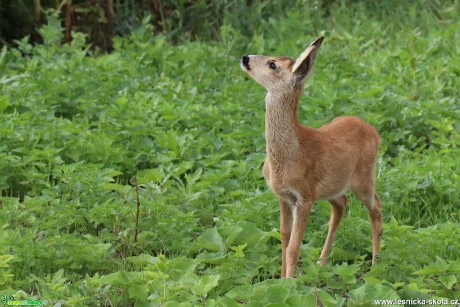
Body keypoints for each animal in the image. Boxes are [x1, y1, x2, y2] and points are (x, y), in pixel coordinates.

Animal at [243, 36, 382, 280]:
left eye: (272, 64)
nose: (245, 58)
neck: (287, 156)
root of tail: (374, 131)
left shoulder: (304, 197)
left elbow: (293, 247)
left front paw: (290, 282)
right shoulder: (283, 196)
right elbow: (284, 237)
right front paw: (280, 280)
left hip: (364, 179)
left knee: (376, 210)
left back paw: (375, 267)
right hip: (332, 188)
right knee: (342, 205)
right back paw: (321, 264)